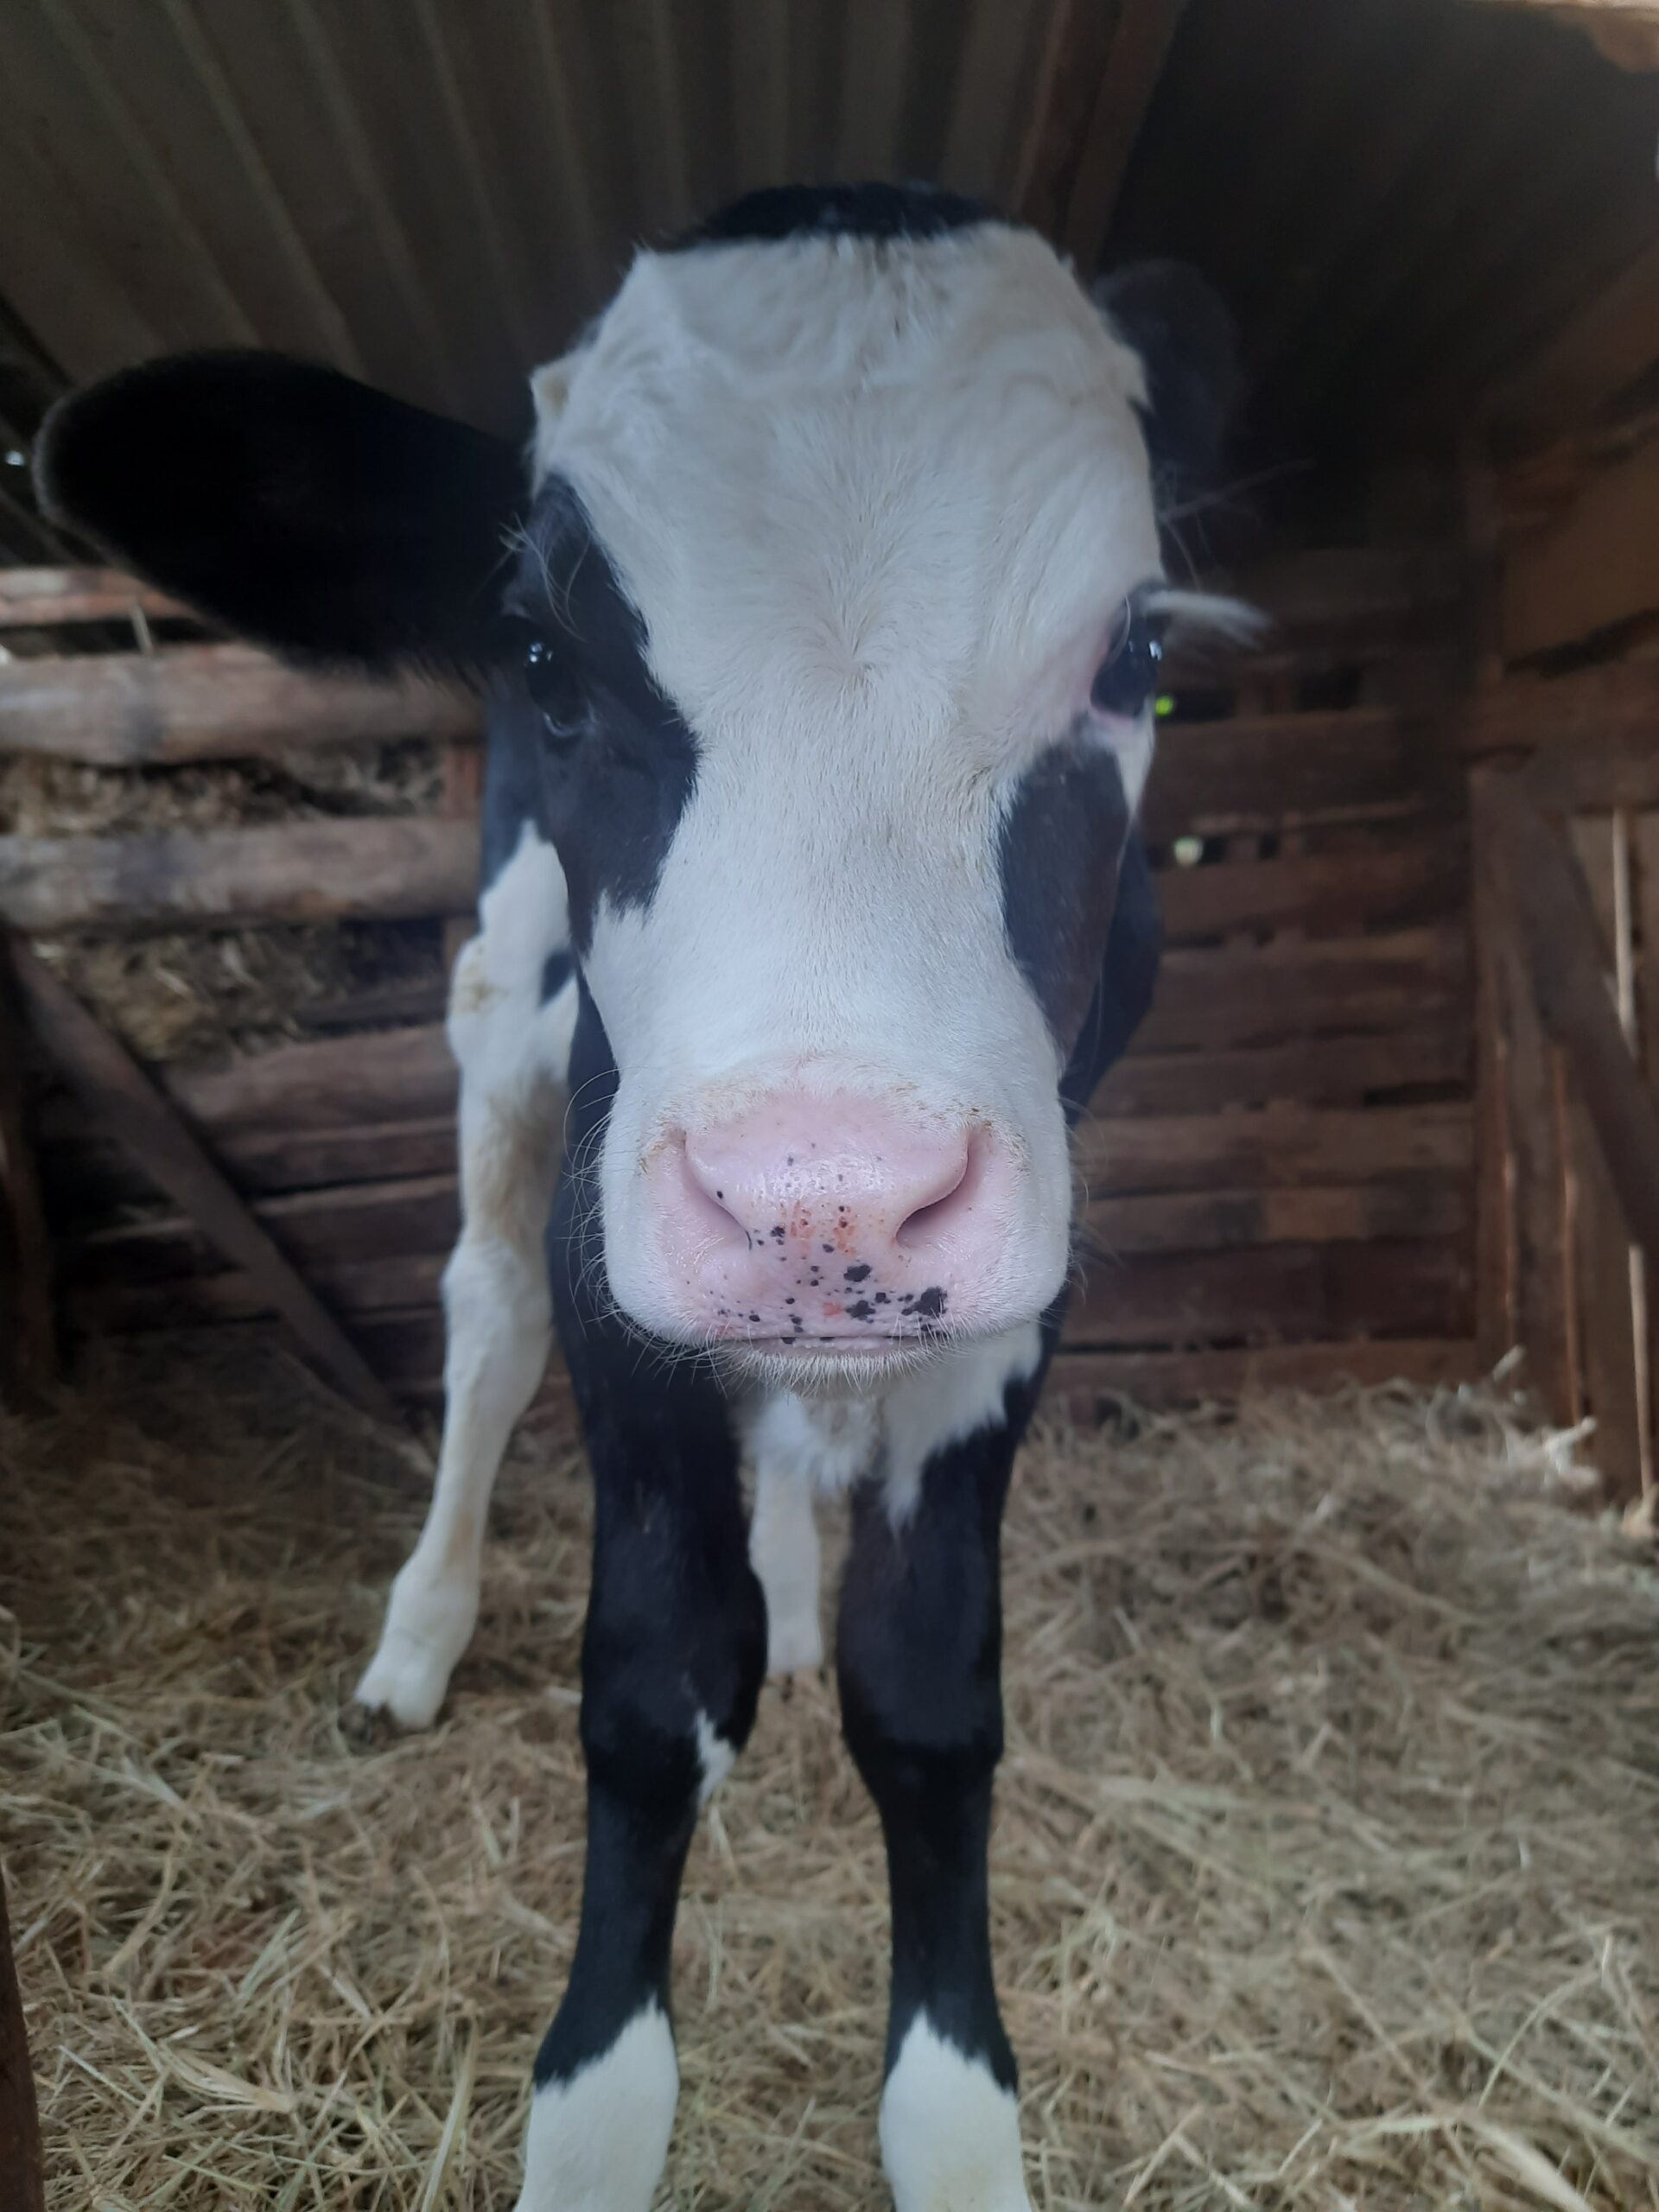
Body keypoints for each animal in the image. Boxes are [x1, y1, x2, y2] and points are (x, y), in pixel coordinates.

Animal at [38, 183, 1244, 2212]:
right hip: (506, 1021)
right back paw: (421, 1632)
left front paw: (957, 2127)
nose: (821, 1197)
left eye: (1135, 655)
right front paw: (594, 2113)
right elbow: (652, 1689)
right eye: (546, 659)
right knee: (484, 1317)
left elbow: (927, 1691)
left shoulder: (1007, 1302)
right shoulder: (621, 1245)